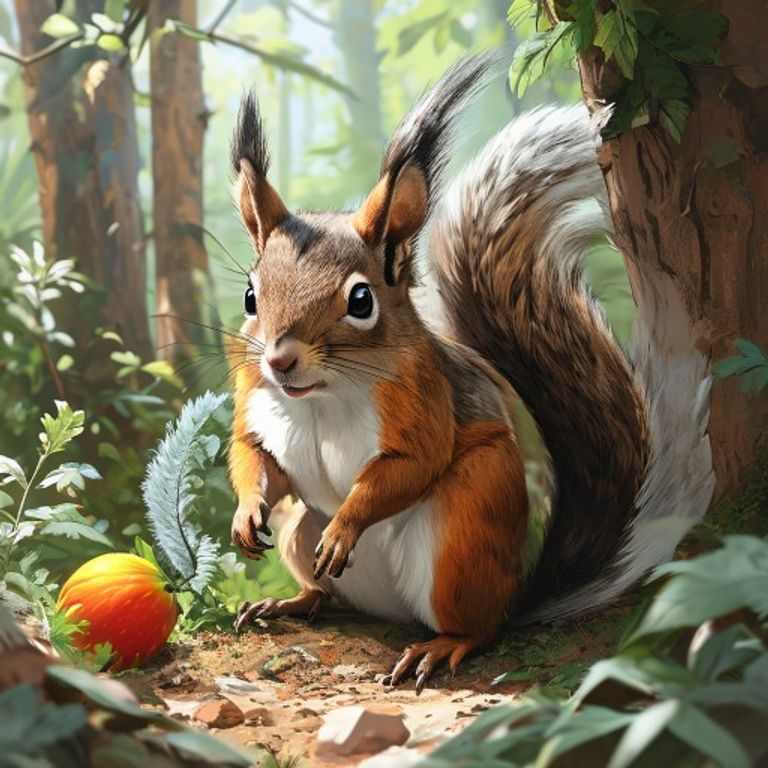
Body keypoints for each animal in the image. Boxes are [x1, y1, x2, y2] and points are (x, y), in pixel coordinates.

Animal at [227, 54, 715, 691]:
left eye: (361, 300)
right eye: (250, 296)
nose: (281, 359)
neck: (319, 397)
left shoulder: (425, 403)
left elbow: (411, 465)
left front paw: (346, 525)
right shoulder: (256, 406)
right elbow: (254, 457)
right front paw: (245, 514)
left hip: (463, 531)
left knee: (480, 625)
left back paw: (441, 645)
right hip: (297, 531)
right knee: (327, 594)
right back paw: (289, 602)